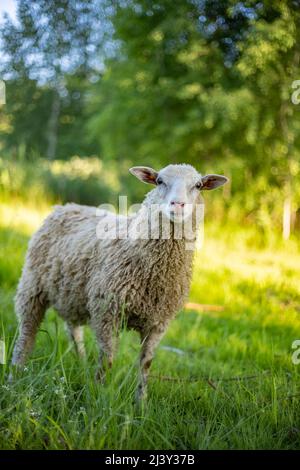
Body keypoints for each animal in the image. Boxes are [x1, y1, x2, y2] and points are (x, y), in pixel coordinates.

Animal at [11, 163, 227, 398]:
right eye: (159, 181)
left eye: (198, 185)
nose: (178, 205)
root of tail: (65, 207)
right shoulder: (107, 311)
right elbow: (108, 360)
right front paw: (99, 395)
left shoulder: (159, 322)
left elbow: (146, 364)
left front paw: (141, 401)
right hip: (32, 285)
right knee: (26, 334)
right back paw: (15, 375)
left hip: (71, 295)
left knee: (74, 331)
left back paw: (81, 363)